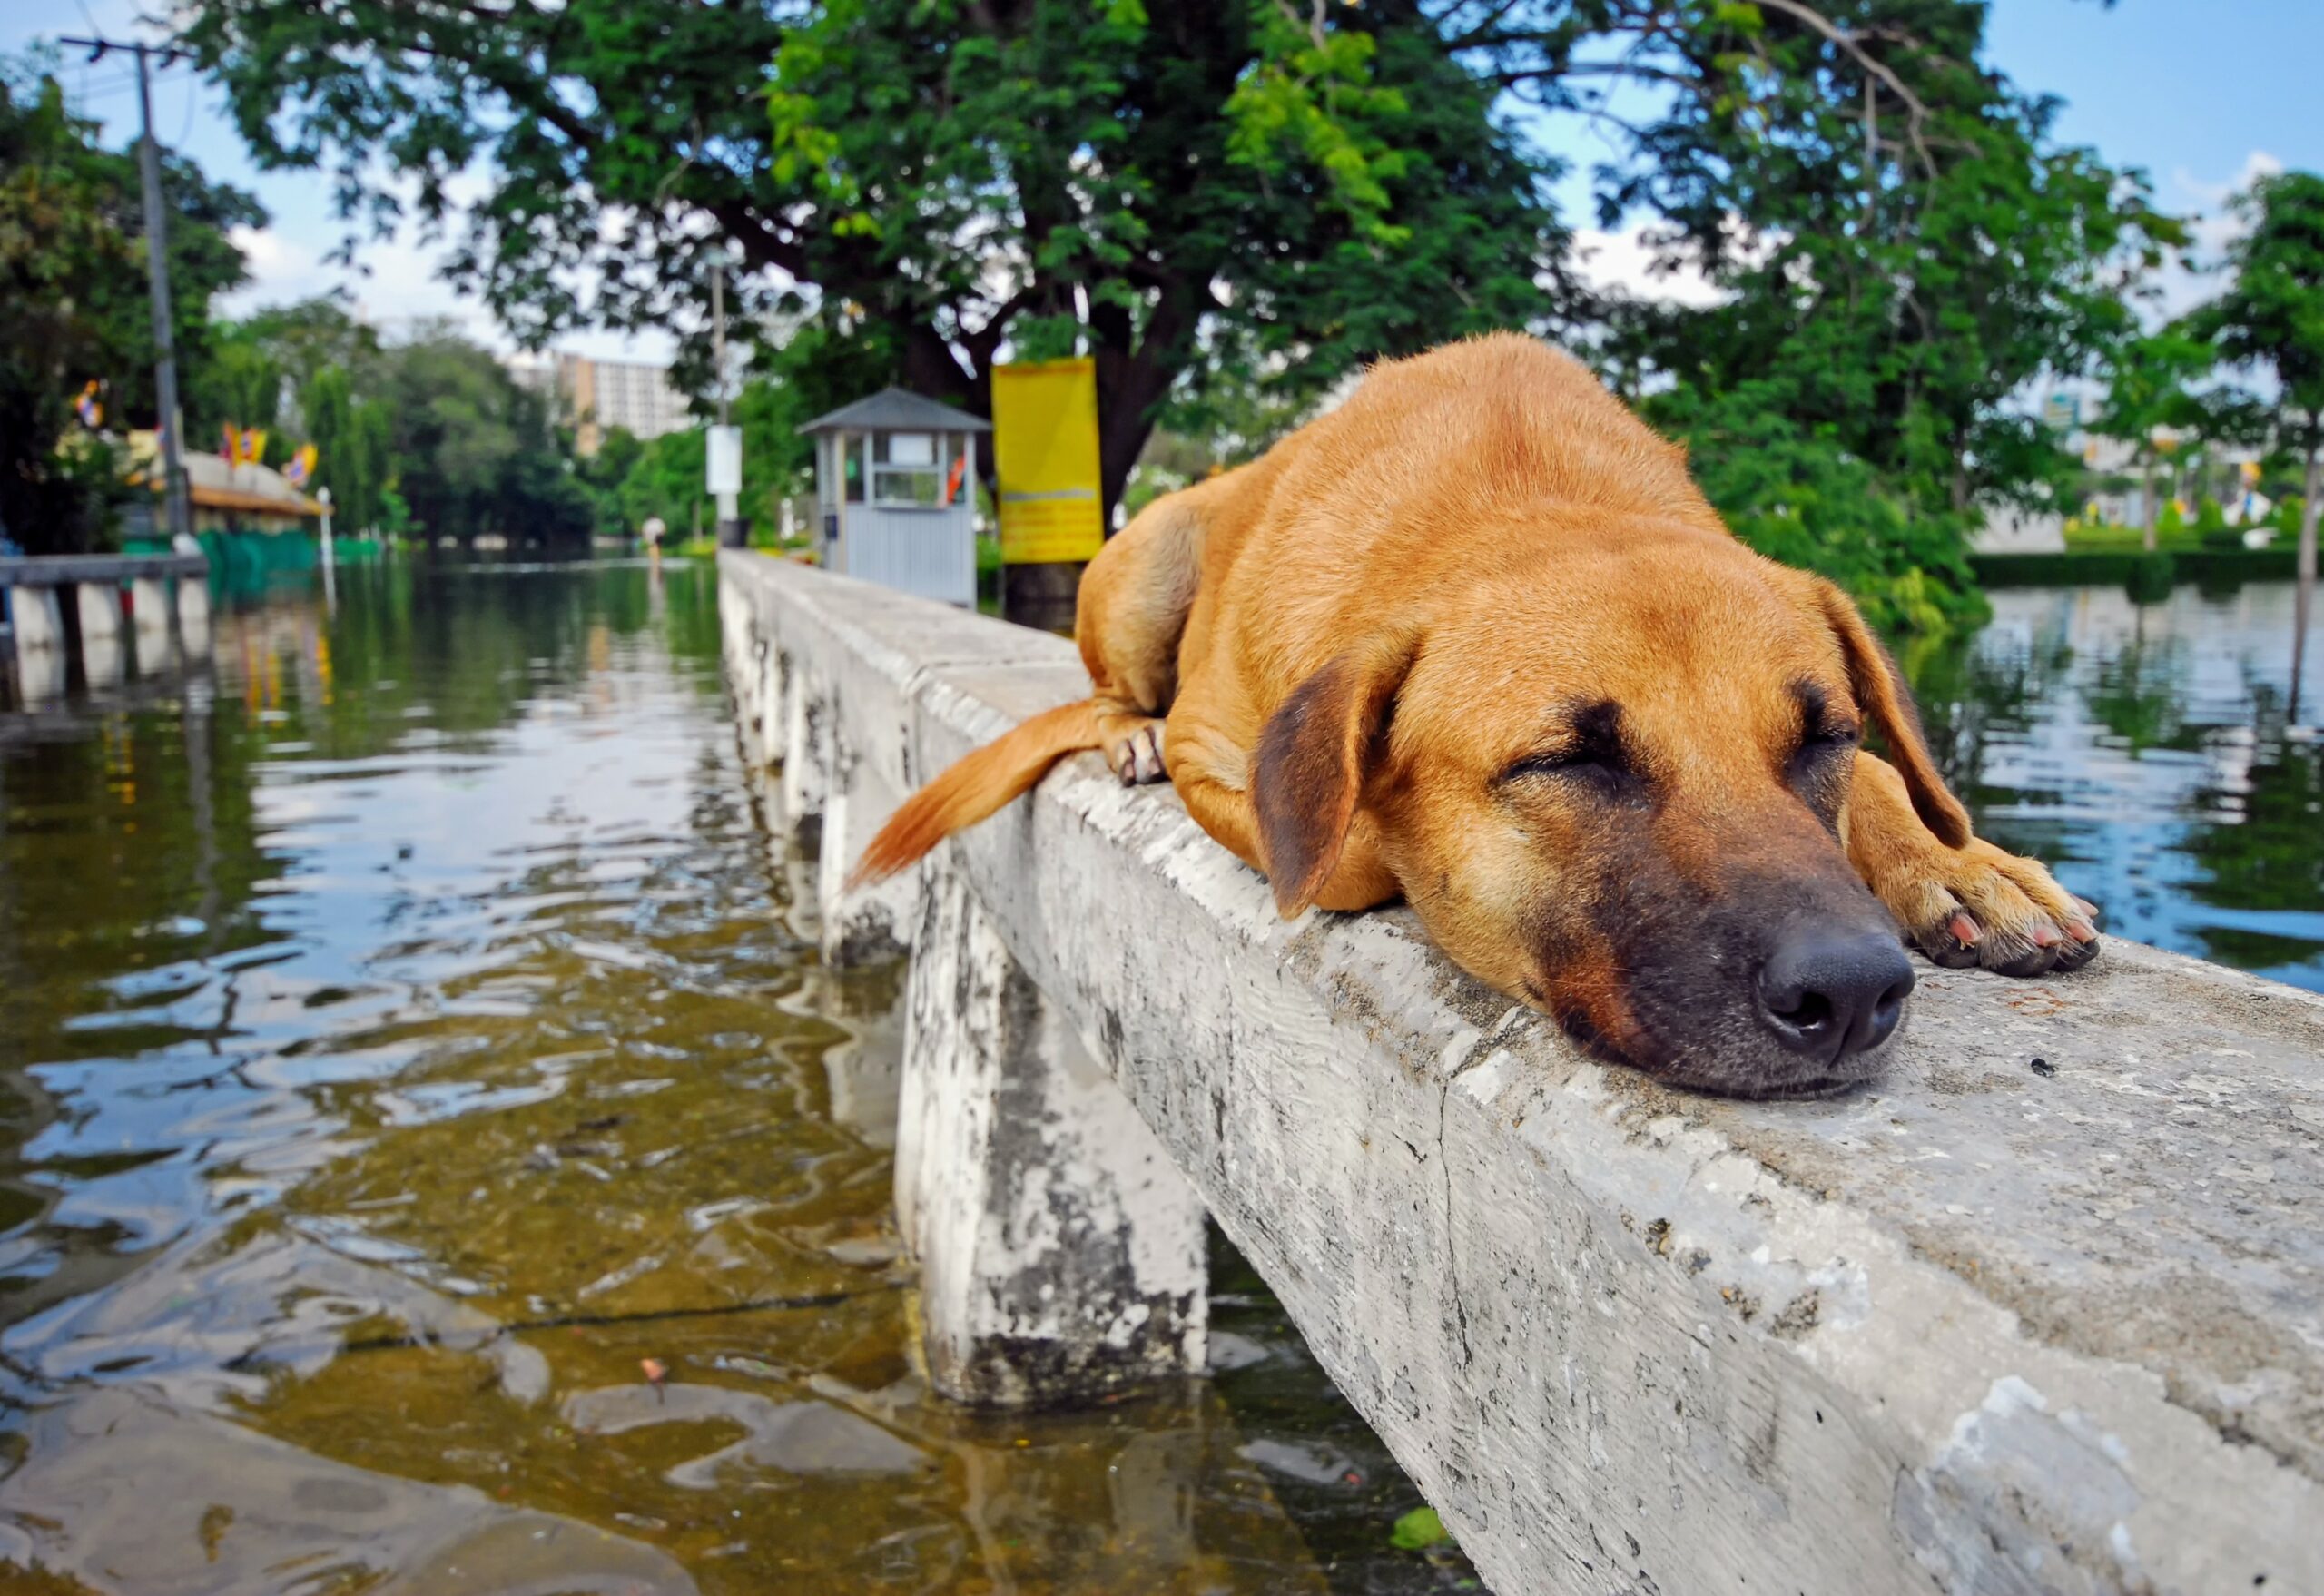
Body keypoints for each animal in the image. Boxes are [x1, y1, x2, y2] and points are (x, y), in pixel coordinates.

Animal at [850, 337, 2092, 1096]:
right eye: (1567, 759)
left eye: (1824, 738)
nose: (1849, 991)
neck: (1532, 498)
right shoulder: (1231, 755)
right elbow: (1347, 851)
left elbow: (1891, 779)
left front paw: (1964, 863)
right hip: (1148, 556)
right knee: (1116, 690)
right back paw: (1125, 729)